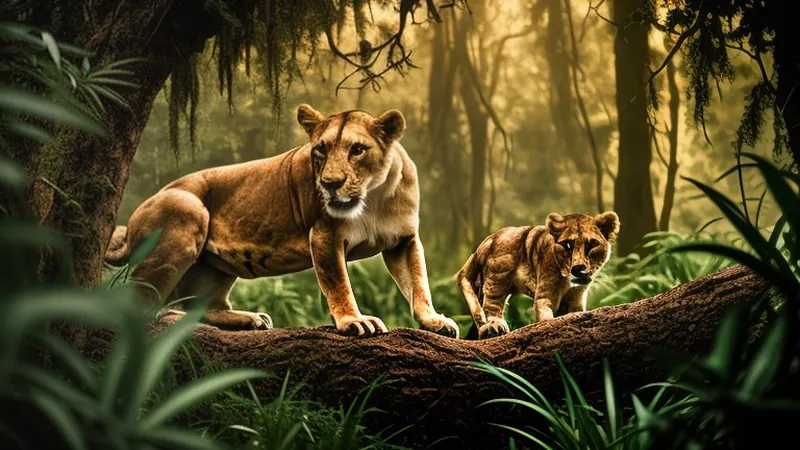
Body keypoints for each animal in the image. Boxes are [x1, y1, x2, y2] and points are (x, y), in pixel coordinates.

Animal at [105, 104, 459, 338]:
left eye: (357, 149)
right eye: (320, 149)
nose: (330, 183)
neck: (373, 198)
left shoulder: (404, 240)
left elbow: (419, 283)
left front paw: (434, 321)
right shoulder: (324, 235)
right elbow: (338, 283)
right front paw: (353, 321)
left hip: (215, 267)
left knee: (204, 306)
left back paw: (250, 319)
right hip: (187, 213)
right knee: (139, 304)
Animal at [456, 211, 620, 339]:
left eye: (591, 244)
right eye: (568, 245)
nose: (578, 268)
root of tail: (487, 241)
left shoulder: (576, 301)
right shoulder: (544, 296)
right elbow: (546, 317)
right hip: (498, 279)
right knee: (491, 305)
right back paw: (494, 326)